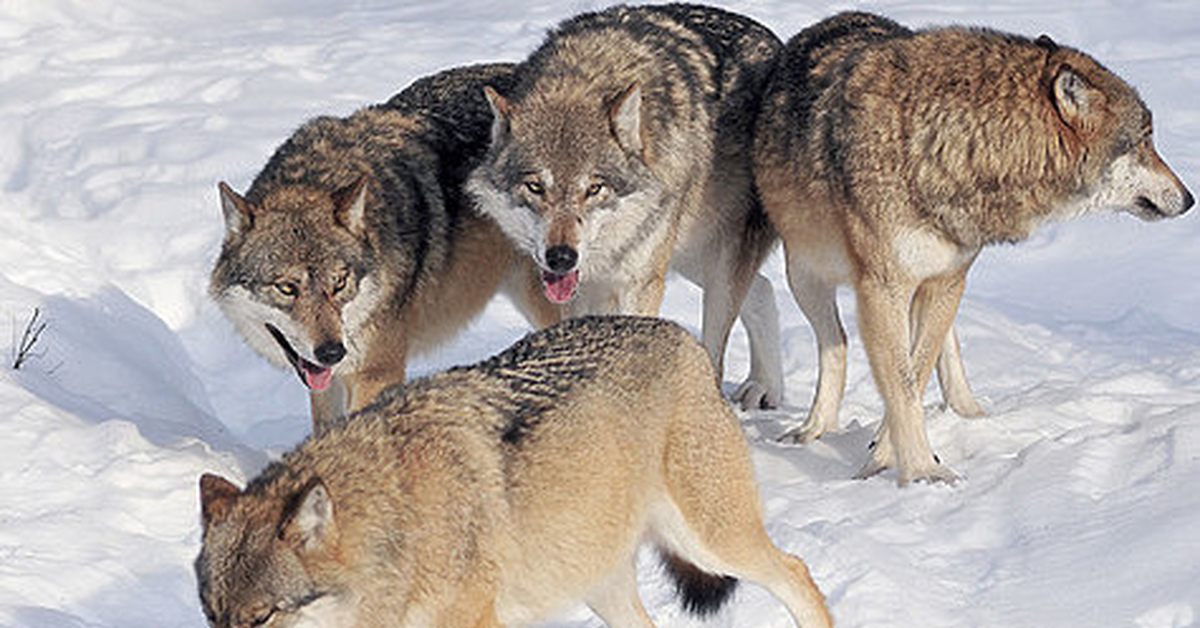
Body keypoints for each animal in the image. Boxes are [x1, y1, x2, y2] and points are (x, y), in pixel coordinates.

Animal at [196, 317, 835, 628]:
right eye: (213, 617)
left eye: (260, 619)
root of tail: (686, 338)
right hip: (601, 582)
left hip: (711, 541)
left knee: (798, 571)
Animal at [468, 3, 787, 413]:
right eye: (536, 187)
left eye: (594, 188)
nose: (561, 257)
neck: (586, 74)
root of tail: (777, 45)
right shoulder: (582, 292)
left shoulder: (639, 283)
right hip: (690, 255)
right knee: (762, 287)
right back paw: (764, 388)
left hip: (709, 270)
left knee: (717, 351)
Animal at [753, 13, 1195, 487]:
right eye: (1145, 139)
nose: (1190, 199)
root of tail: (827, 22)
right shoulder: (883, 288)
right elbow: (901, 384)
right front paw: (921, 471)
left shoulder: (949, 277)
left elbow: (917, 370)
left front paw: (889, 453)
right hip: (807, 277)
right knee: (835, 342)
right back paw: (814, 427)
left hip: (933, 284)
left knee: (940, 344)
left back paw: (971, 414)